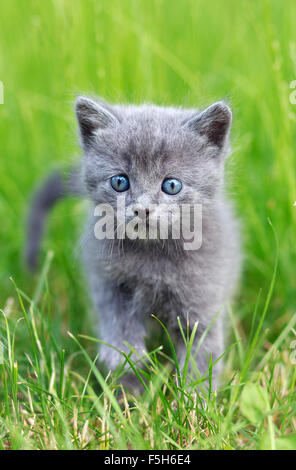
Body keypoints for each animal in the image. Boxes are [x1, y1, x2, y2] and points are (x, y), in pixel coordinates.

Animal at [27, 95, 240, 390]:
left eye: (171, 185)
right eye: (119, 182)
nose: (142, 209)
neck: (152, 257)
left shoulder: (202, 295)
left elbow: (202, 351)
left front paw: (195, 397)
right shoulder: (108, 284)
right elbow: (118, 329)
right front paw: (129, 371)